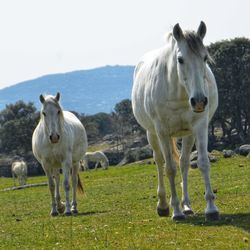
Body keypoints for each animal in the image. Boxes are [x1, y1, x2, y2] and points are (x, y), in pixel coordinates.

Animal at [132, 22, 220, 221]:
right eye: (180, 59)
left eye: (204, 57)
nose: (199, 101)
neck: (179, 92)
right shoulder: (162, 131)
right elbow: (170, 169)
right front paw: (176, 212)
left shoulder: (200, 126)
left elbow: (203, 163)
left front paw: (211, 208)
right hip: (152, 134)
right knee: (159, 162)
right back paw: (164, 206)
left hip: (188, 134)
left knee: (184, 163)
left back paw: (187, 206)